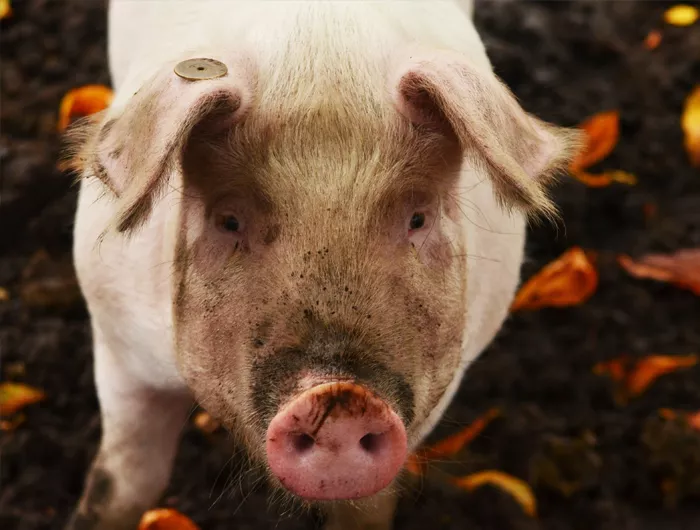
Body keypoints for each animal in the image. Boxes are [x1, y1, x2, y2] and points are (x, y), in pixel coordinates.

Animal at [63, 1, 581, 529]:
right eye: (228, 220)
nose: (339, 396)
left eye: (418, 218)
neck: (320, 59)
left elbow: (367, 507)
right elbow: (125, 484)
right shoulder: (119, 344)